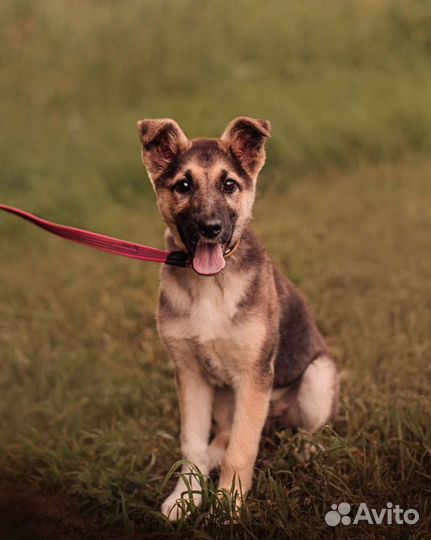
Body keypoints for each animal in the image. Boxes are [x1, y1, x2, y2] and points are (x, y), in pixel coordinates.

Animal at [137, 117, 340, 520]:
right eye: (183, 186)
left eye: (229, 184)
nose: (210, 228)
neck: (211, 285)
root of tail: (276, 416)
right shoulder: (190, 374)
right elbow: (193, 445)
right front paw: (185, 498)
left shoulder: (254, 375)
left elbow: (242, 450)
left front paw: (229, 503)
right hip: (225, 394)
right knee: (223, 436)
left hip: (317, 377)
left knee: (308, 429)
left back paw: (307, 451)